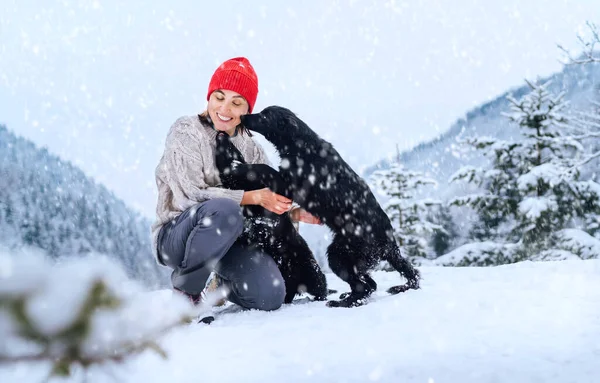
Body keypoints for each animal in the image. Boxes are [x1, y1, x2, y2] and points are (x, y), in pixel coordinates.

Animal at [232, 106, 420, 308]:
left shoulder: (288, 186)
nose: (242, 116)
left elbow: (264, 168)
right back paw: (347, 296)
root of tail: (389, 242)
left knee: (365, 286)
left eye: (265, 115)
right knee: (370, 284)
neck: (301, 147)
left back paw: (343, 303)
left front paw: (238, 166)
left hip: (339, 255)